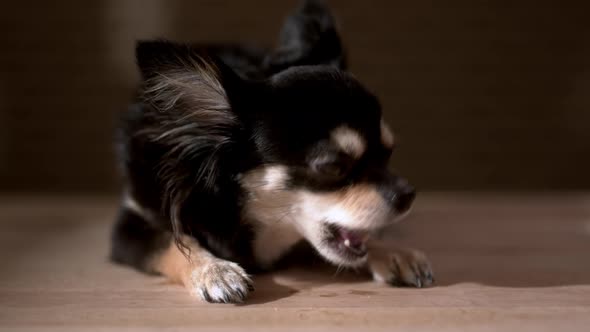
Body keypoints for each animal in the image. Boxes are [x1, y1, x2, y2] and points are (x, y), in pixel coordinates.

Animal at [111, 0, 434, 304]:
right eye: (332, 166)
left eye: (389, 153)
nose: (408, 195)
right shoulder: (132, 223)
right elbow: (173, 243)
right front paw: (213, 269)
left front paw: (392, 252)